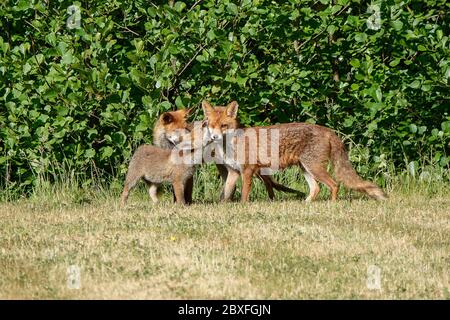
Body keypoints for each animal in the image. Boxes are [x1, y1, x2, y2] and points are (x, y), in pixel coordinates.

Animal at [153, 105, 300, 200]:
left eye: (186, 130)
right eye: (177, 131)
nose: (192, 140)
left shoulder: (188, 172)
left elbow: (186, 193)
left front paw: (187, 204)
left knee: (267, 183)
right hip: (226, 167)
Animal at [202, 100, 388, 202]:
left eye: (224, 126)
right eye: (211, 125)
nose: (214, 137)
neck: (231, 145)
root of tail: (327, 130)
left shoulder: (247, 171)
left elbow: (244, 196)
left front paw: (243, 207)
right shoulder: (233, 172)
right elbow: (225, 196)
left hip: (314, 167)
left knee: (335, 184)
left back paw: (332, 205)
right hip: (305, 168)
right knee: (316, 189)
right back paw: (306, 204)